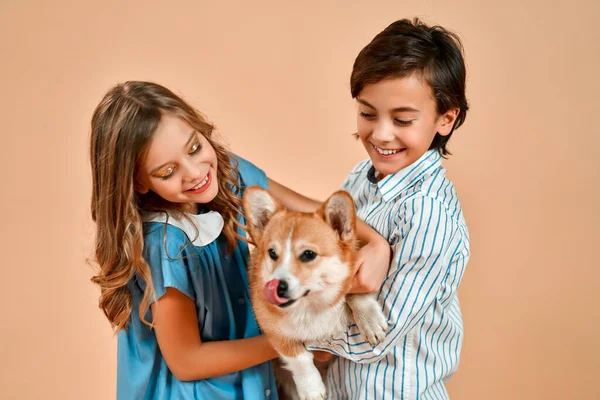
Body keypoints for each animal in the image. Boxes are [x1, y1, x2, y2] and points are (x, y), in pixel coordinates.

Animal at [244, 188, 390, 400]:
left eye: (308, 254)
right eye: (272, 253)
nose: (277, 287)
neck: (311, 304)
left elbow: (354, 292)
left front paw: (370, 322)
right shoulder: (275, 332)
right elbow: (300, 359)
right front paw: (311, 390)